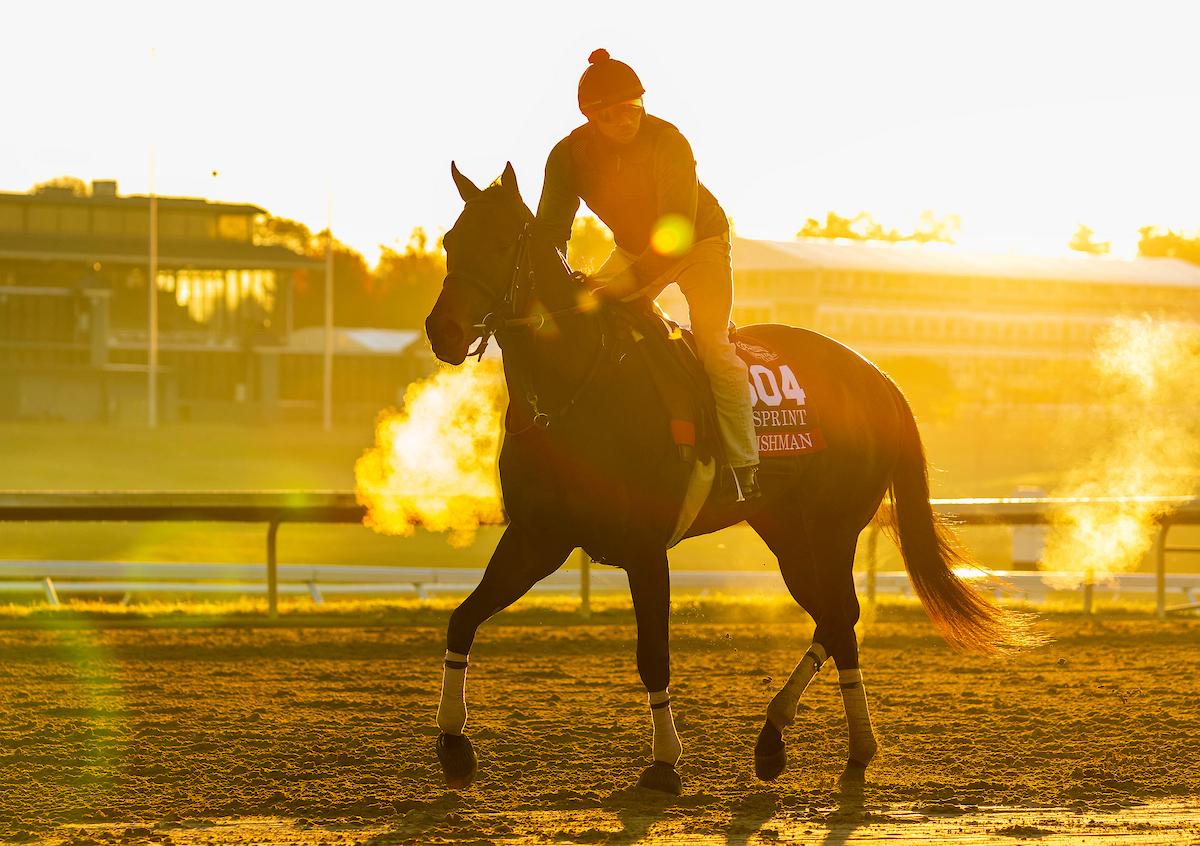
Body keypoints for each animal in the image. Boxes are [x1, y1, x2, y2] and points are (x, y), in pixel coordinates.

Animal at [424, 162, 1035, 796]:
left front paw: (665, 759)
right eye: (449, 241)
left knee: (840, 615)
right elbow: (462, 619)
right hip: (788, 531)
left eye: (500, 243)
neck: (576, 390)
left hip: (832, 525)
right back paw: (784, 738)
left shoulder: (644, 549)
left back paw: (847, 744)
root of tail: (878, 377)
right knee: (835, 617)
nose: (442, 330)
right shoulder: (537, 537)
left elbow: (653, 653)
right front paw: (453, 743)